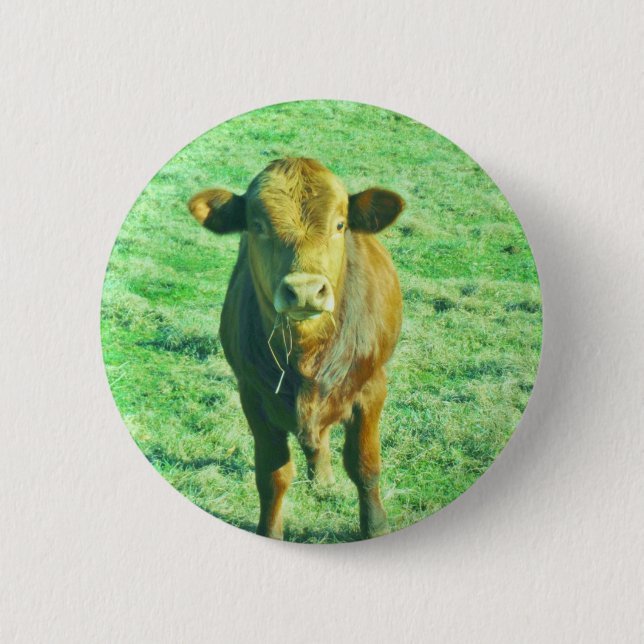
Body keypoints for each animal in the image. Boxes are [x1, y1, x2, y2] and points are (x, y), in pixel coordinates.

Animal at [188, 158, 405, 540]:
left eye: (339, 224)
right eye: (257, 225)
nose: (305, 290)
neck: (308, 354)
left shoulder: (372, 388)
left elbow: (365, 466)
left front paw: (376, 527)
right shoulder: (252, 397)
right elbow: (272, 476)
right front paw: (270, 531)